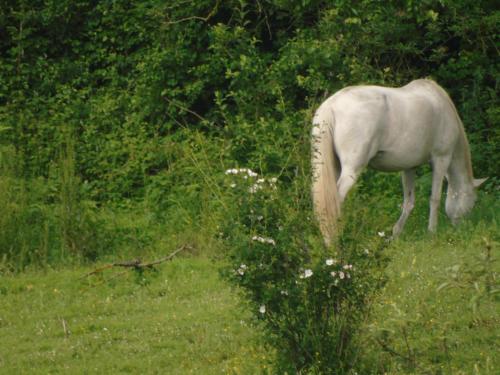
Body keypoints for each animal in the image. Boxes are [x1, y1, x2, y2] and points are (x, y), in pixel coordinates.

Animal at [310, 78, 486, 245]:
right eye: (474, 201)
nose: (462, 229)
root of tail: (331, 105)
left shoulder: (409, 167)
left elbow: (408, 202)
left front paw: (395, 235)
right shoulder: (441, 159)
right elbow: (435, 199)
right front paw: (432, 233)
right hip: (351, 170)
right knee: (335, 201)